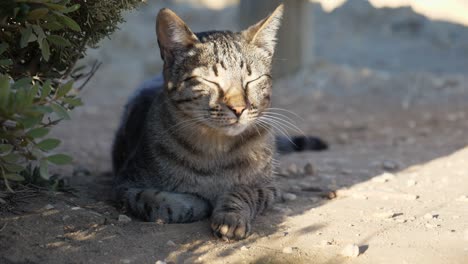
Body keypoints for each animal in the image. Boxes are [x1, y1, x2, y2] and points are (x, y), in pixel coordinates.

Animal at [112, 4, 328, 240]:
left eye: (252, 80)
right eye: (210, 81)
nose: (239, 108)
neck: (216, 148)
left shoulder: (268, 187)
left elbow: (242, 191)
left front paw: (230, 217)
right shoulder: (125, 183)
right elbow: (157, 201)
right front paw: (193, 202)